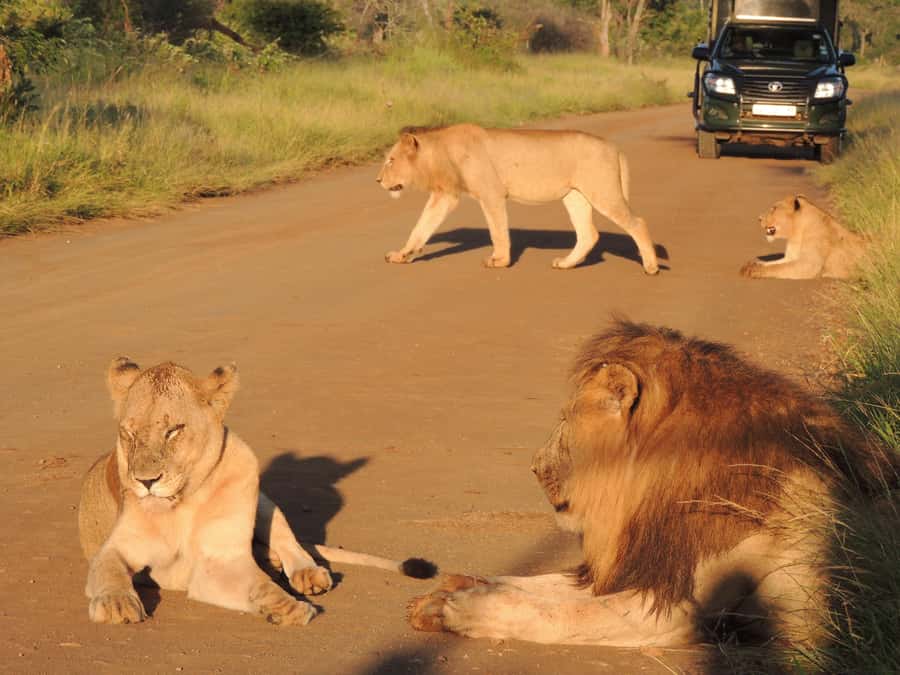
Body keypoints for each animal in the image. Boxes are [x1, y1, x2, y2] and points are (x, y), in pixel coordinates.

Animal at [79, 358, 435, 626]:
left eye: (174, 431)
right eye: (127, 433)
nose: (146, 481)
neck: (184, 501)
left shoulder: (221, 559)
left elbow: (261, 584)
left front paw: (288, 606)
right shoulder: (117, 550)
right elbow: (110, 570)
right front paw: (115, 604)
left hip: (263, 499)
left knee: (290, 543)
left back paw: (304, 573)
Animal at [375, 124, 660, 273]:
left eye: (390, 160)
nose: (377, 180)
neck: (440, 154)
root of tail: (613, 147)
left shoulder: (491, 194)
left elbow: (497, 230)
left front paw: (499, 261)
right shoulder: (445, 196)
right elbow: (421, 227)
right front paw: (402, 255)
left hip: (603, 191)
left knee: (638, 223)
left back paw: (651, 266)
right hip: (575, 196)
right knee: (589, 234)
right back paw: (566, 263)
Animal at [409, 320, 894, 647]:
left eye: (564, 421)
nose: (533, 465)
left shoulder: (674, 607)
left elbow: (556, 611)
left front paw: (462, 607)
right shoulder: (640, 564)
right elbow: (538, 585)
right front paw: (455, 586)